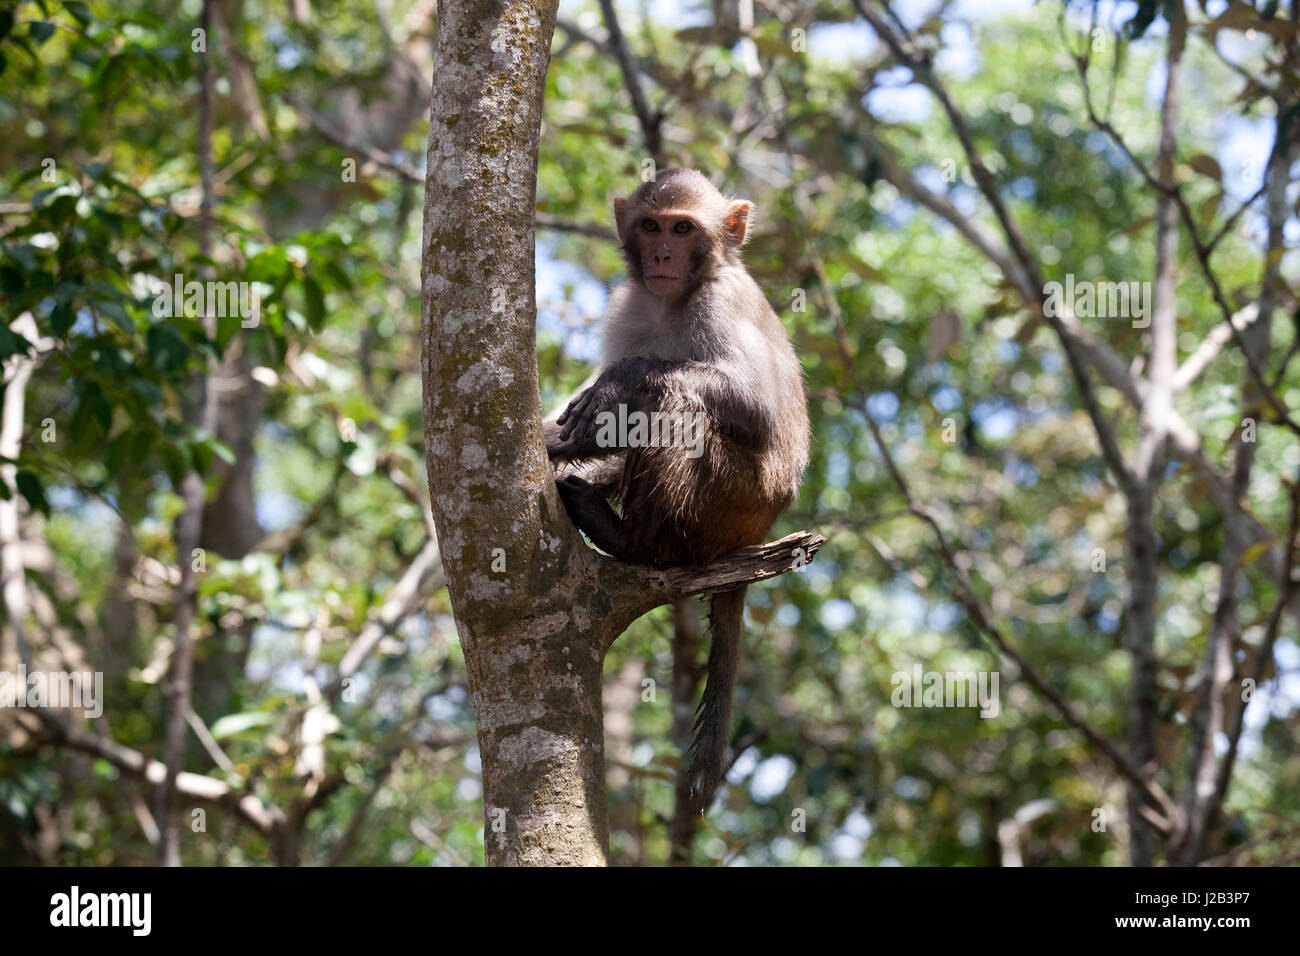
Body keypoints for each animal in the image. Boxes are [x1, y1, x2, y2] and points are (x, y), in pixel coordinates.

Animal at [545, 168, 810, 814]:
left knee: (679, 406)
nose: (663, 254)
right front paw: (561, 444)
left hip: (733, 502)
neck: (673, 299)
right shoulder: (629, 307)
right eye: (651, 226)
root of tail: (758, 533)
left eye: (683, 228)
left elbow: (756, 407)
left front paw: (621, 379)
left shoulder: (721, 303)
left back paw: (635, 542)